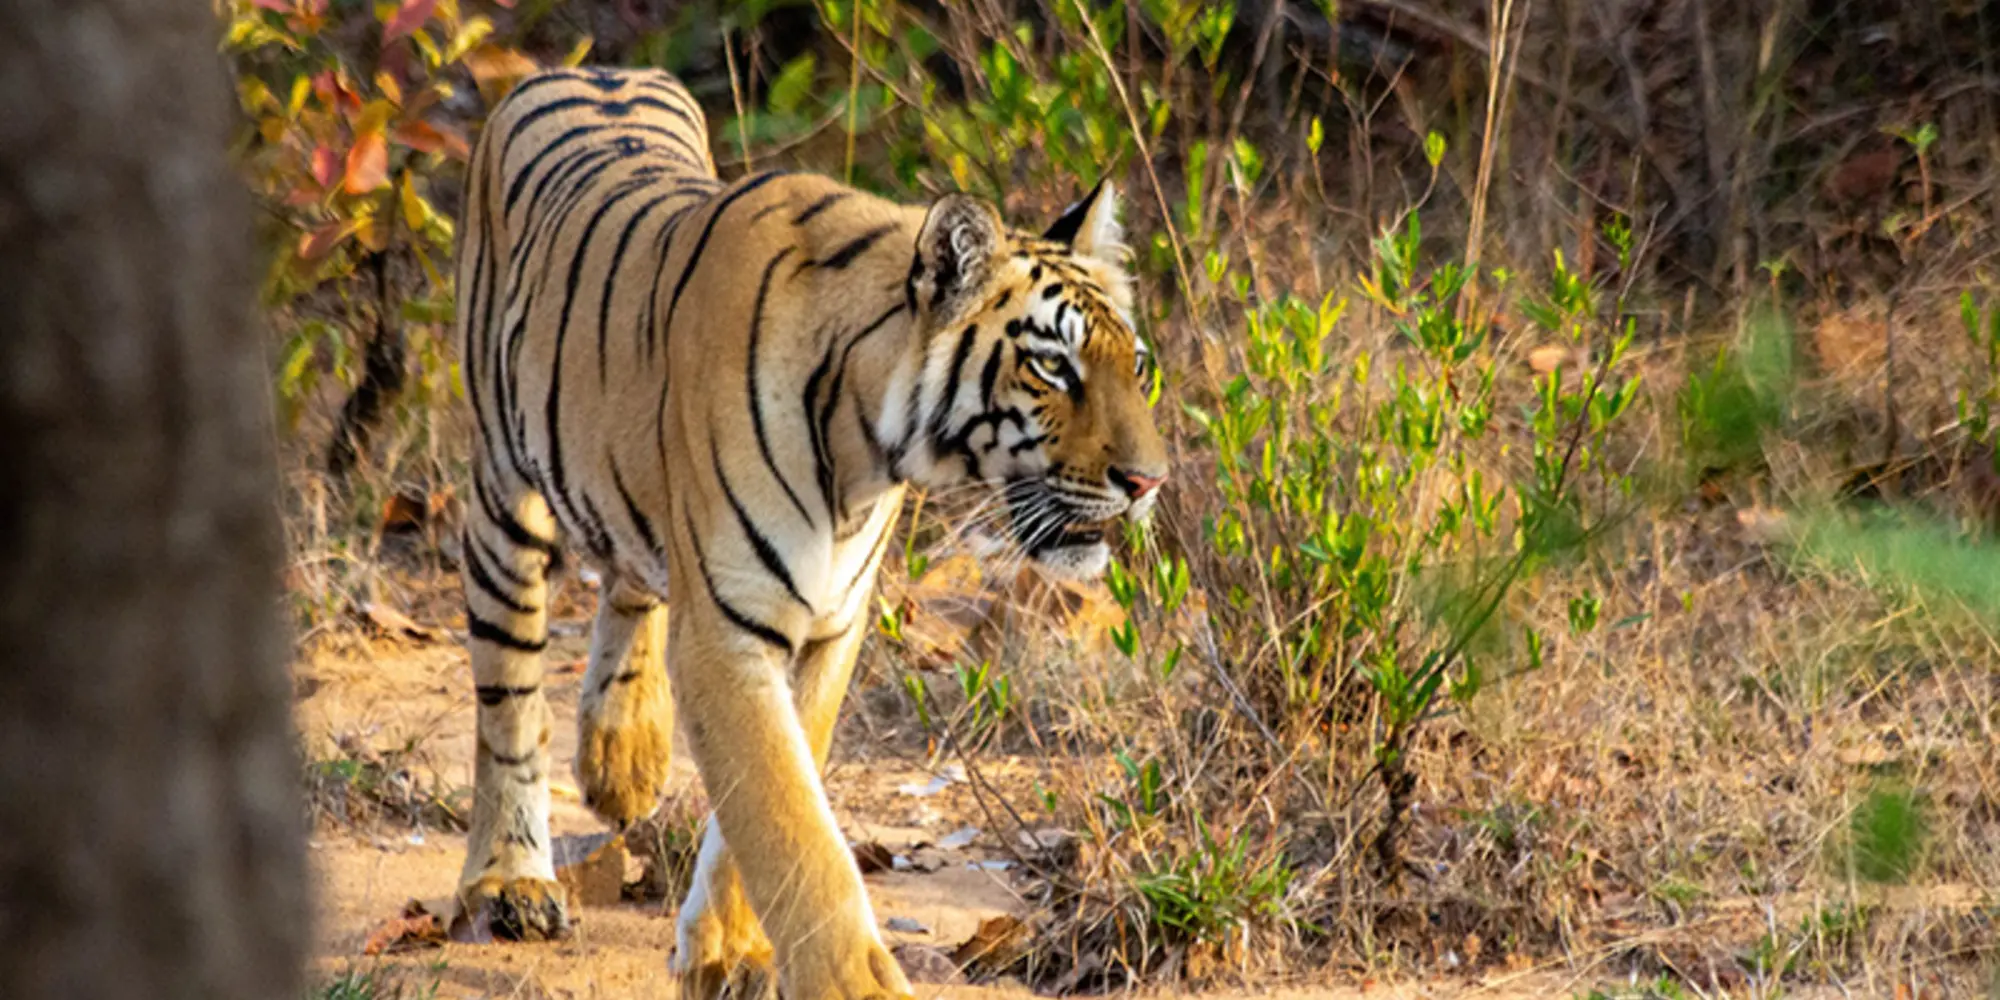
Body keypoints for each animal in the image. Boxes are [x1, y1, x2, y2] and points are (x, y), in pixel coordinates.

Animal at [454, 66, 1168, 996]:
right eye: (1052, 365)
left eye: (1136, 364)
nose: (1150, 482)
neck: (868, 450)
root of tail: (580, 68)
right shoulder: (727, 629)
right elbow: (792, 826)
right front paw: (850, 983)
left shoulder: (831, 620)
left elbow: (774, 797)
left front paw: (725, 951)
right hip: (503, 493)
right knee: (508, 695)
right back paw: (509, 881)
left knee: (631, 577)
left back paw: (624, 758)